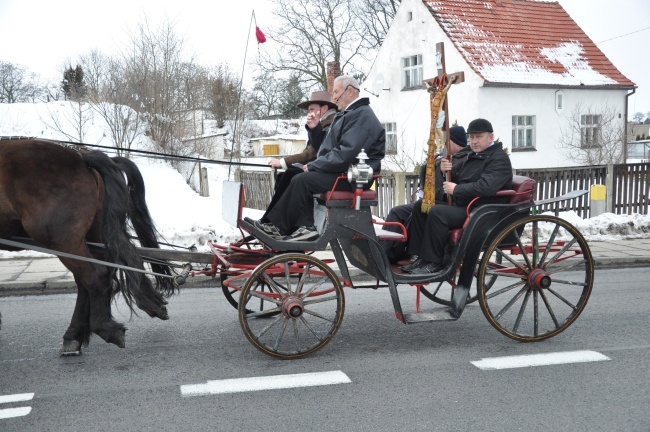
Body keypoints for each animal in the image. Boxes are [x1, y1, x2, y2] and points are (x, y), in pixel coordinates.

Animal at [0, 138, 176, 354]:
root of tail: (82, 155)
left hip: (62, 239)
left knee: (94, 276)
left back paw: (104, 328)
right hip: (90, 236)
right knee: (89, 280)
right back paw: (74, 336)